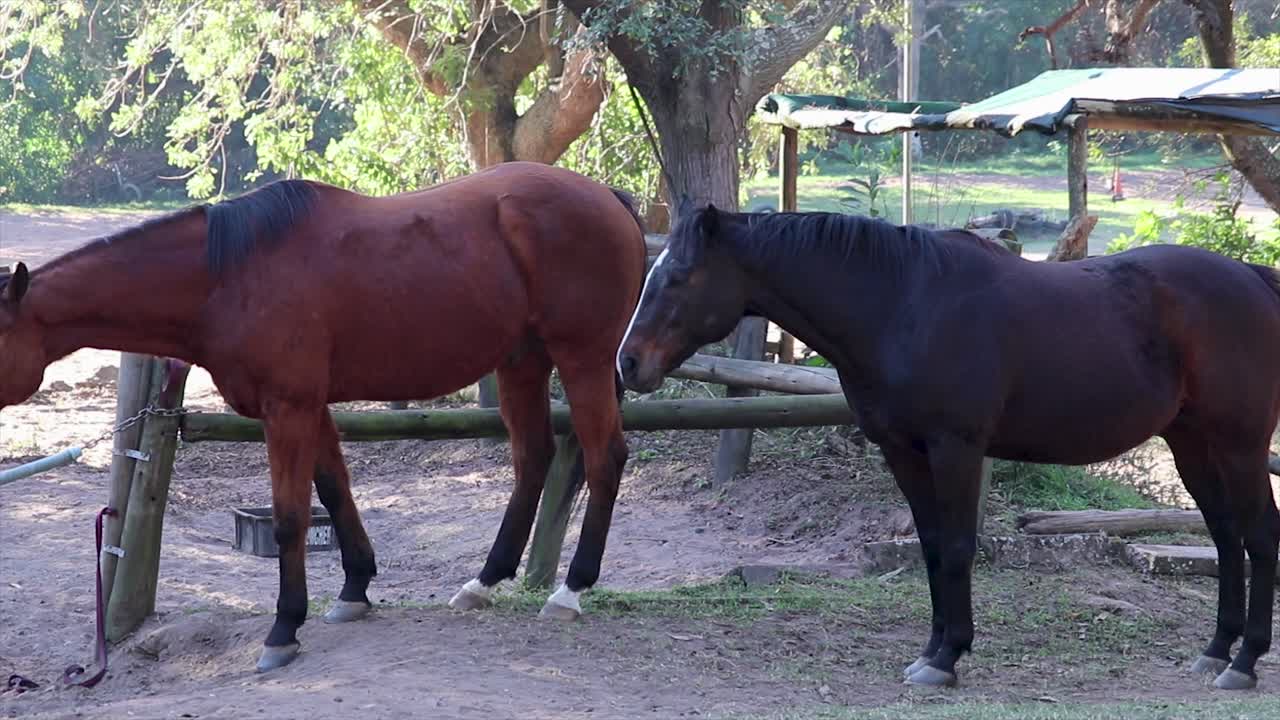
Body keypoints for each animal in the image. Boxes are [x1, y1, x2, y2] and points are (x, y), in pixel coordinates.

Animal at [0, 161, 646, 672]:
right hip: (521, 364)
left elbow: (291, 518)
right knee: (533, 457)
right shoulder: (311, 409)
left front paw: (284, 629)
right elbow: (335, 492)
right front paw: (354, 589)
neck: (227, 275)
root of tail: (608, 197)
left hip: (582, 359)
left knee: (603, 458)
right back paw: (483, 582)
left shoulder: (289, 408)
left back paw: (570, 590)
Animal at [616, 200, 1280, 690]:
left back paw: (1245, 663)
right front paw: (933, 648)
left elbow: (959, 547)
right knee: (1226, 538)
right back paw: (1215, 651)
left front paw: (947, 659)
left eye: (678, 277)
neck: (903, 304)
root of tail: (1253, 278)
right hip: (1193, 445)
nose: (627, 364)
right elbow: (932, 546)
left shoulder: (955, 448)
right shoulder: (903, 450)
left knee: (1259, 538)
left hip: (1241, 447)